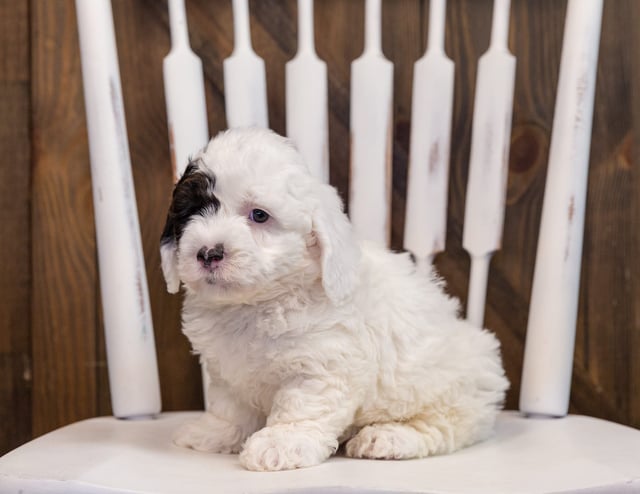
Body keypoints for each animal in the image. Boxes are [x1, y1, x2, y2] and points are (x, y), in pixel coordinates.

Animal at [160, 126, 510, 470]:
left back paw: (388, 437)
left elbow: (301, 407)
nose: (208, 253)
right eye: (192, 212)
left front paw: (281, 443)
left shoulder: (321, 366)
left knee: (442, 425)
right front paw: (216, 432)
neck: (256, 303)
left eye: (259, 215)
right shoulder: (227, 372)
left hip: (449, 390)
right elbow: (229, 407)